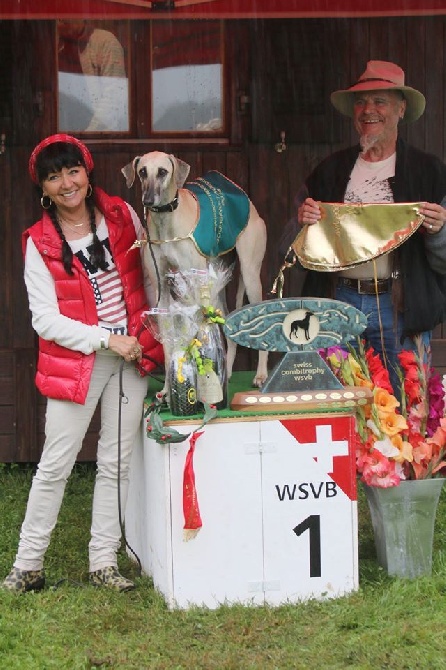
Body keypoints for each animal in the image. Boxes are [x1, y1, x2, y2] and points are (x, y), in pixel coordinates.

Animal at [122, 150, 266, 386]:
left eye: (162, 172)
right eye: (142, 171)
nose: (148, 200)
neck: (166, 223)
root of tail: (246, 199)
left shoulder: (194, 285)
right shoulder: (162, 291)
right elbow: (169, 342)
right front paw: (168, 387)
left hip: (250, 275)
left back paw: (261, 374)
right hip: (216, 283)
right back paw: (226, 372)